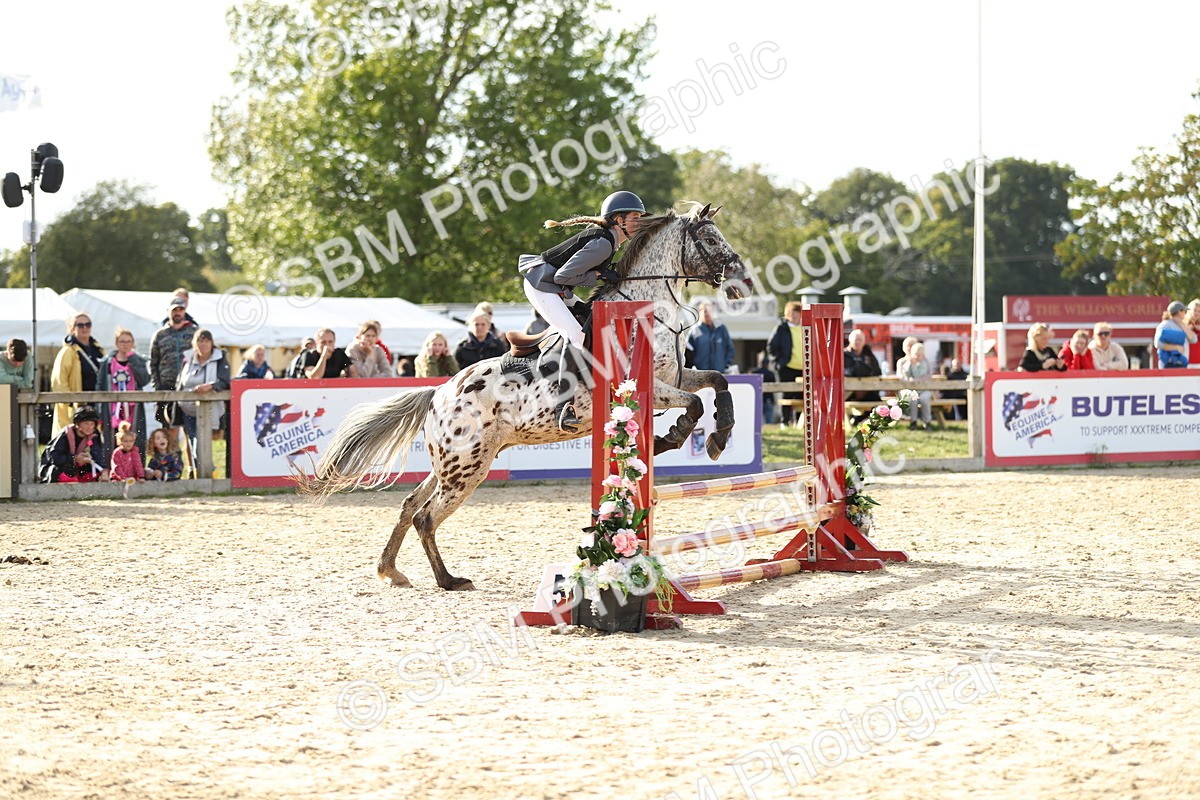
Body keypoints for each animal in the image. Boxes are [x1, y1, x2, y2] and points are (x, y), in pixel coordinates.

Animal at [297, 203, 752, 590]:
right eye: (710, 239)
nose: (743, 284)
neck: (648, 309)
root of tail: (439, 393)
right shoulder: (648, 388)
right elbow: (693, 405)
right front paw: (670, 438)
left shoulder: (677, 376)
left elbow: (717, 383)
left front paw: (719, 436)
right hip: (466, 467)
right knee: (426, 516)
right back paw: (449, 580)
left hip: (453, 462)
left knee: (411, 505)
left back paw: (391, 571)